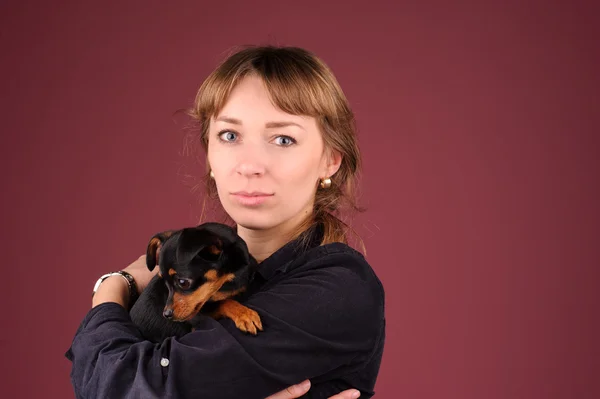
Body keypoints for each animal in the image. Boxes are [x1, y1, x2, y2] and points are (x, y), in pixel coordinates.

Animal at [130, 223, 262, 342]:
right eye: (165, 283)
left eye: (183, 282)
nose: (166, 314)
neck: (227, 279)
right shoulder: (197, 317)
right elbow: (224, 302)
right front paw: (244, 314)